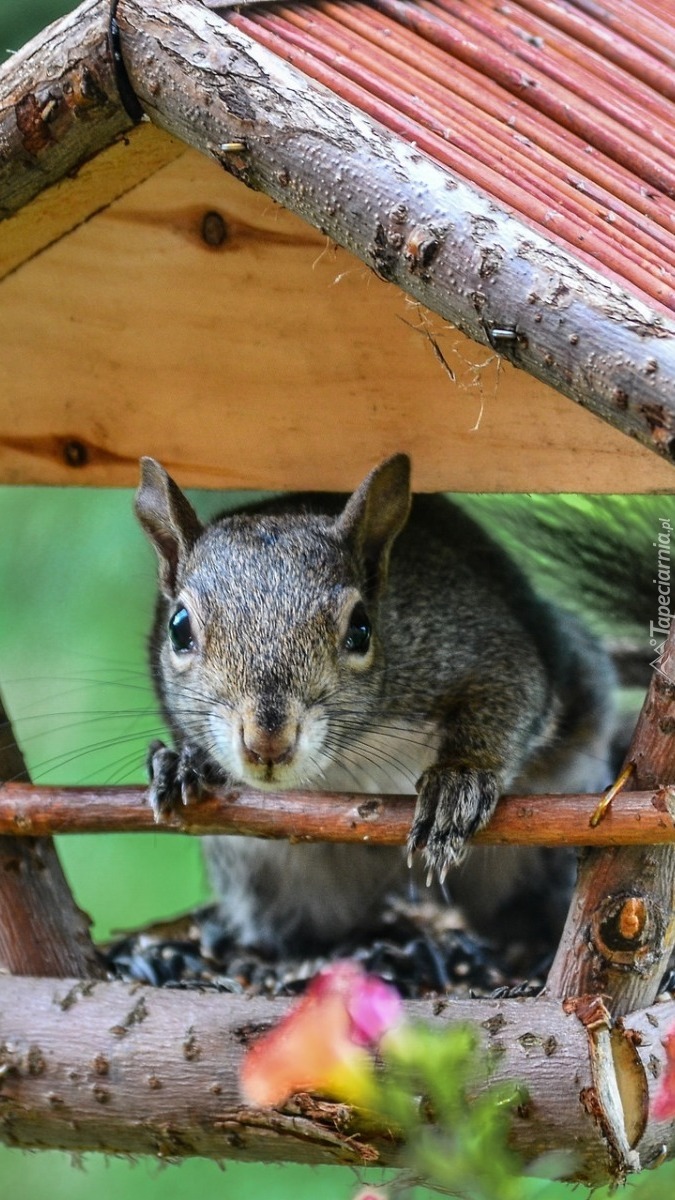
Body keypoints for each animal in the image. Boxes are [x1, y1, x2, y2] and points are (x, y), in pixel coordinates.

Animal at [133, 456, 619, 955]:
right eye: (178, 628)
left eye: (361, 628)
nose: (267, 742)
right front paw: (182, 762)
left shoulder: (476, 638)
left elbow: (512, 690)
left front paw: (458, 782)